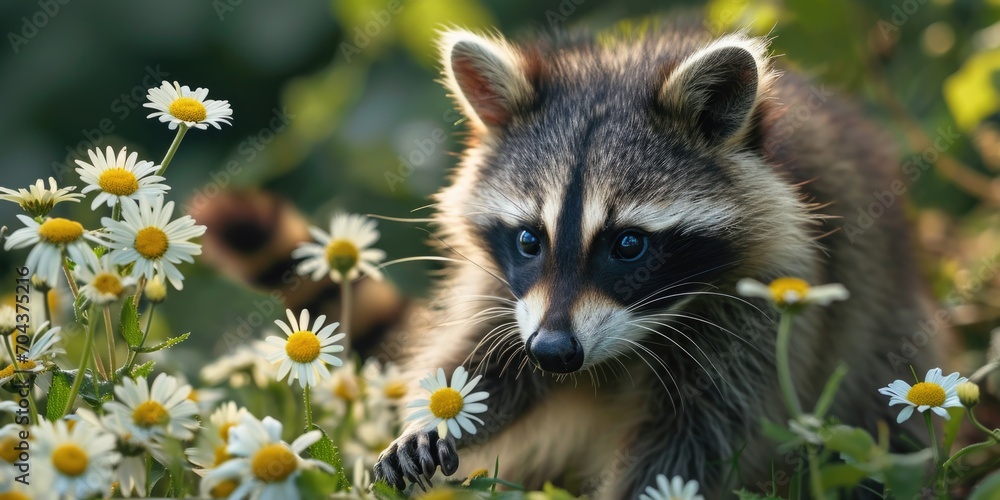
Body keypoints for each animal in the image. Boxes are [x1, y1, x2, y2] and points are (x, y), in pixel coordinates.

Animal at [370, 19, 941, 498]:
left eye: (629, 245)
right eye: (530, 240)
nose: (553, 352)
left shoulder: (761, 302)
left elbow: (695, 440)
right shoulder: (506, 293)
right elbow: (484, 364)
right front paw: (432, 420)